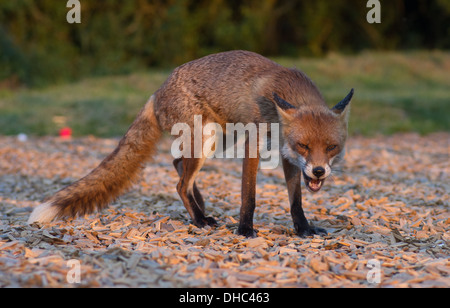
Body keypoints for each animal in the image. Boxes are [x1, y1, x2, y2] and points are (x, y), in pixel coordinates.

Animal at [28, 51, 354, 238]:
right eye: (304, 145)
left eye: (332, 148)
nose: (319, 172)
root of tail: (157, 91)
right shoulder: (254, 146)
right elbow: (248, 196)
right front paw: (245, 229)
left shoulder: (286, 157)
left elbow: (296, 201)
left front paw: (304, 229)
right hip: (207, 139)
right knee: (179, 183)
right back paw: (198, 219)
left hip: (218, 140)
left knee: (178, 166)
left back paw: (200, 206)